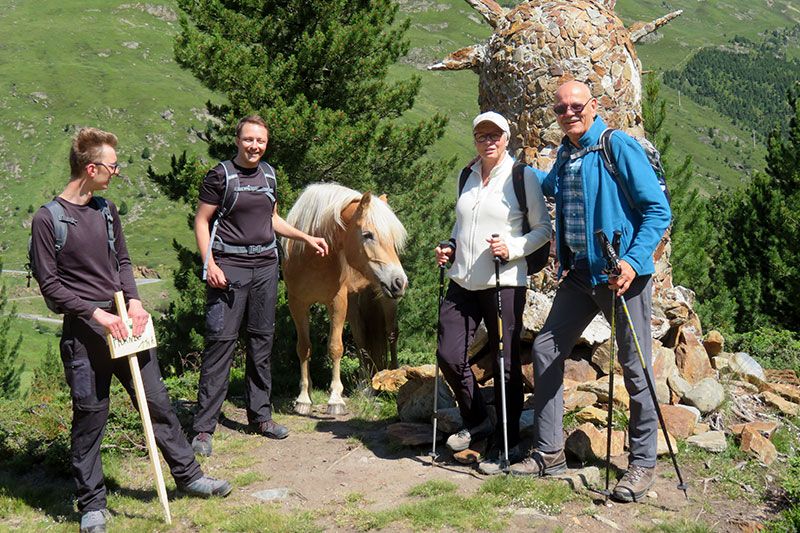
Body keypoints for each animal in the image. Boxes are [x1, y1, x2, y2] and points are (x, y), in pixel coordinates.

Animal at [282, 183, 406, 416]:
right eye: (367, 234)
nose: (400, 282)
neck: (313, 258)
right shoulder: (298, 304)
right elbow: (304, 348)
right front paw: (304, 398)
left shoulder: (337, 303)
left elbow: (335, 348)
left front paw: (335, 400)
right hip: (355, 306)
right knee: (361, 341)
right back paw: (365, 387)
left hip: (387, 301)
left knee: (391, 335)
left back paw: (394, 377)